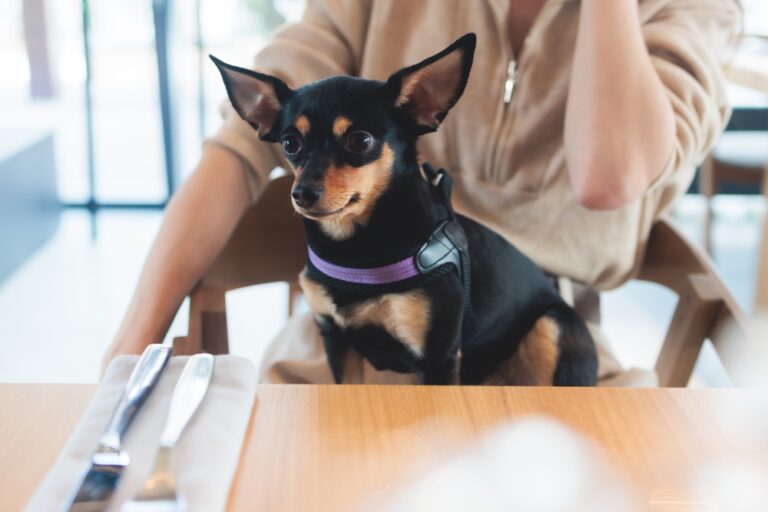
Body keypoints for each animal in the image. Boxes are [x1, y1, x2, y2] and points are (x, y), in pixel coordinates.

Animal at [212, 34, 600, 386]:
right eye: (290, 144)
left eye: (360, 141)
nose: (302, 193)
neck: (354, 248)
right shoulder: (338, 342)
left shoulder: (438, 358)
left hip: (551, 330)